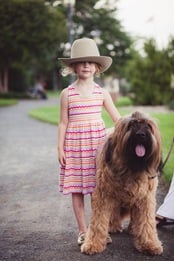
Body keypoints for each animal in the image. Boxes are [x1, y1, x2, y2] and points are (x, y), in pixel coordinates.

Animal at [81, 111, 163, 254]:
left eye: (147, 125)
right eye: (131, 125)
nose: (141, 135)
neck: (131, 168)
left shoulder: (146, 198)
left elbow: (147, 221)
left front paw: (149, 244)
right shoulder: (103, 195)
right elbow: (98, 221)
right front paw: (93, 244)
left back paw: (133, 229)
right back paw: (114, 226)